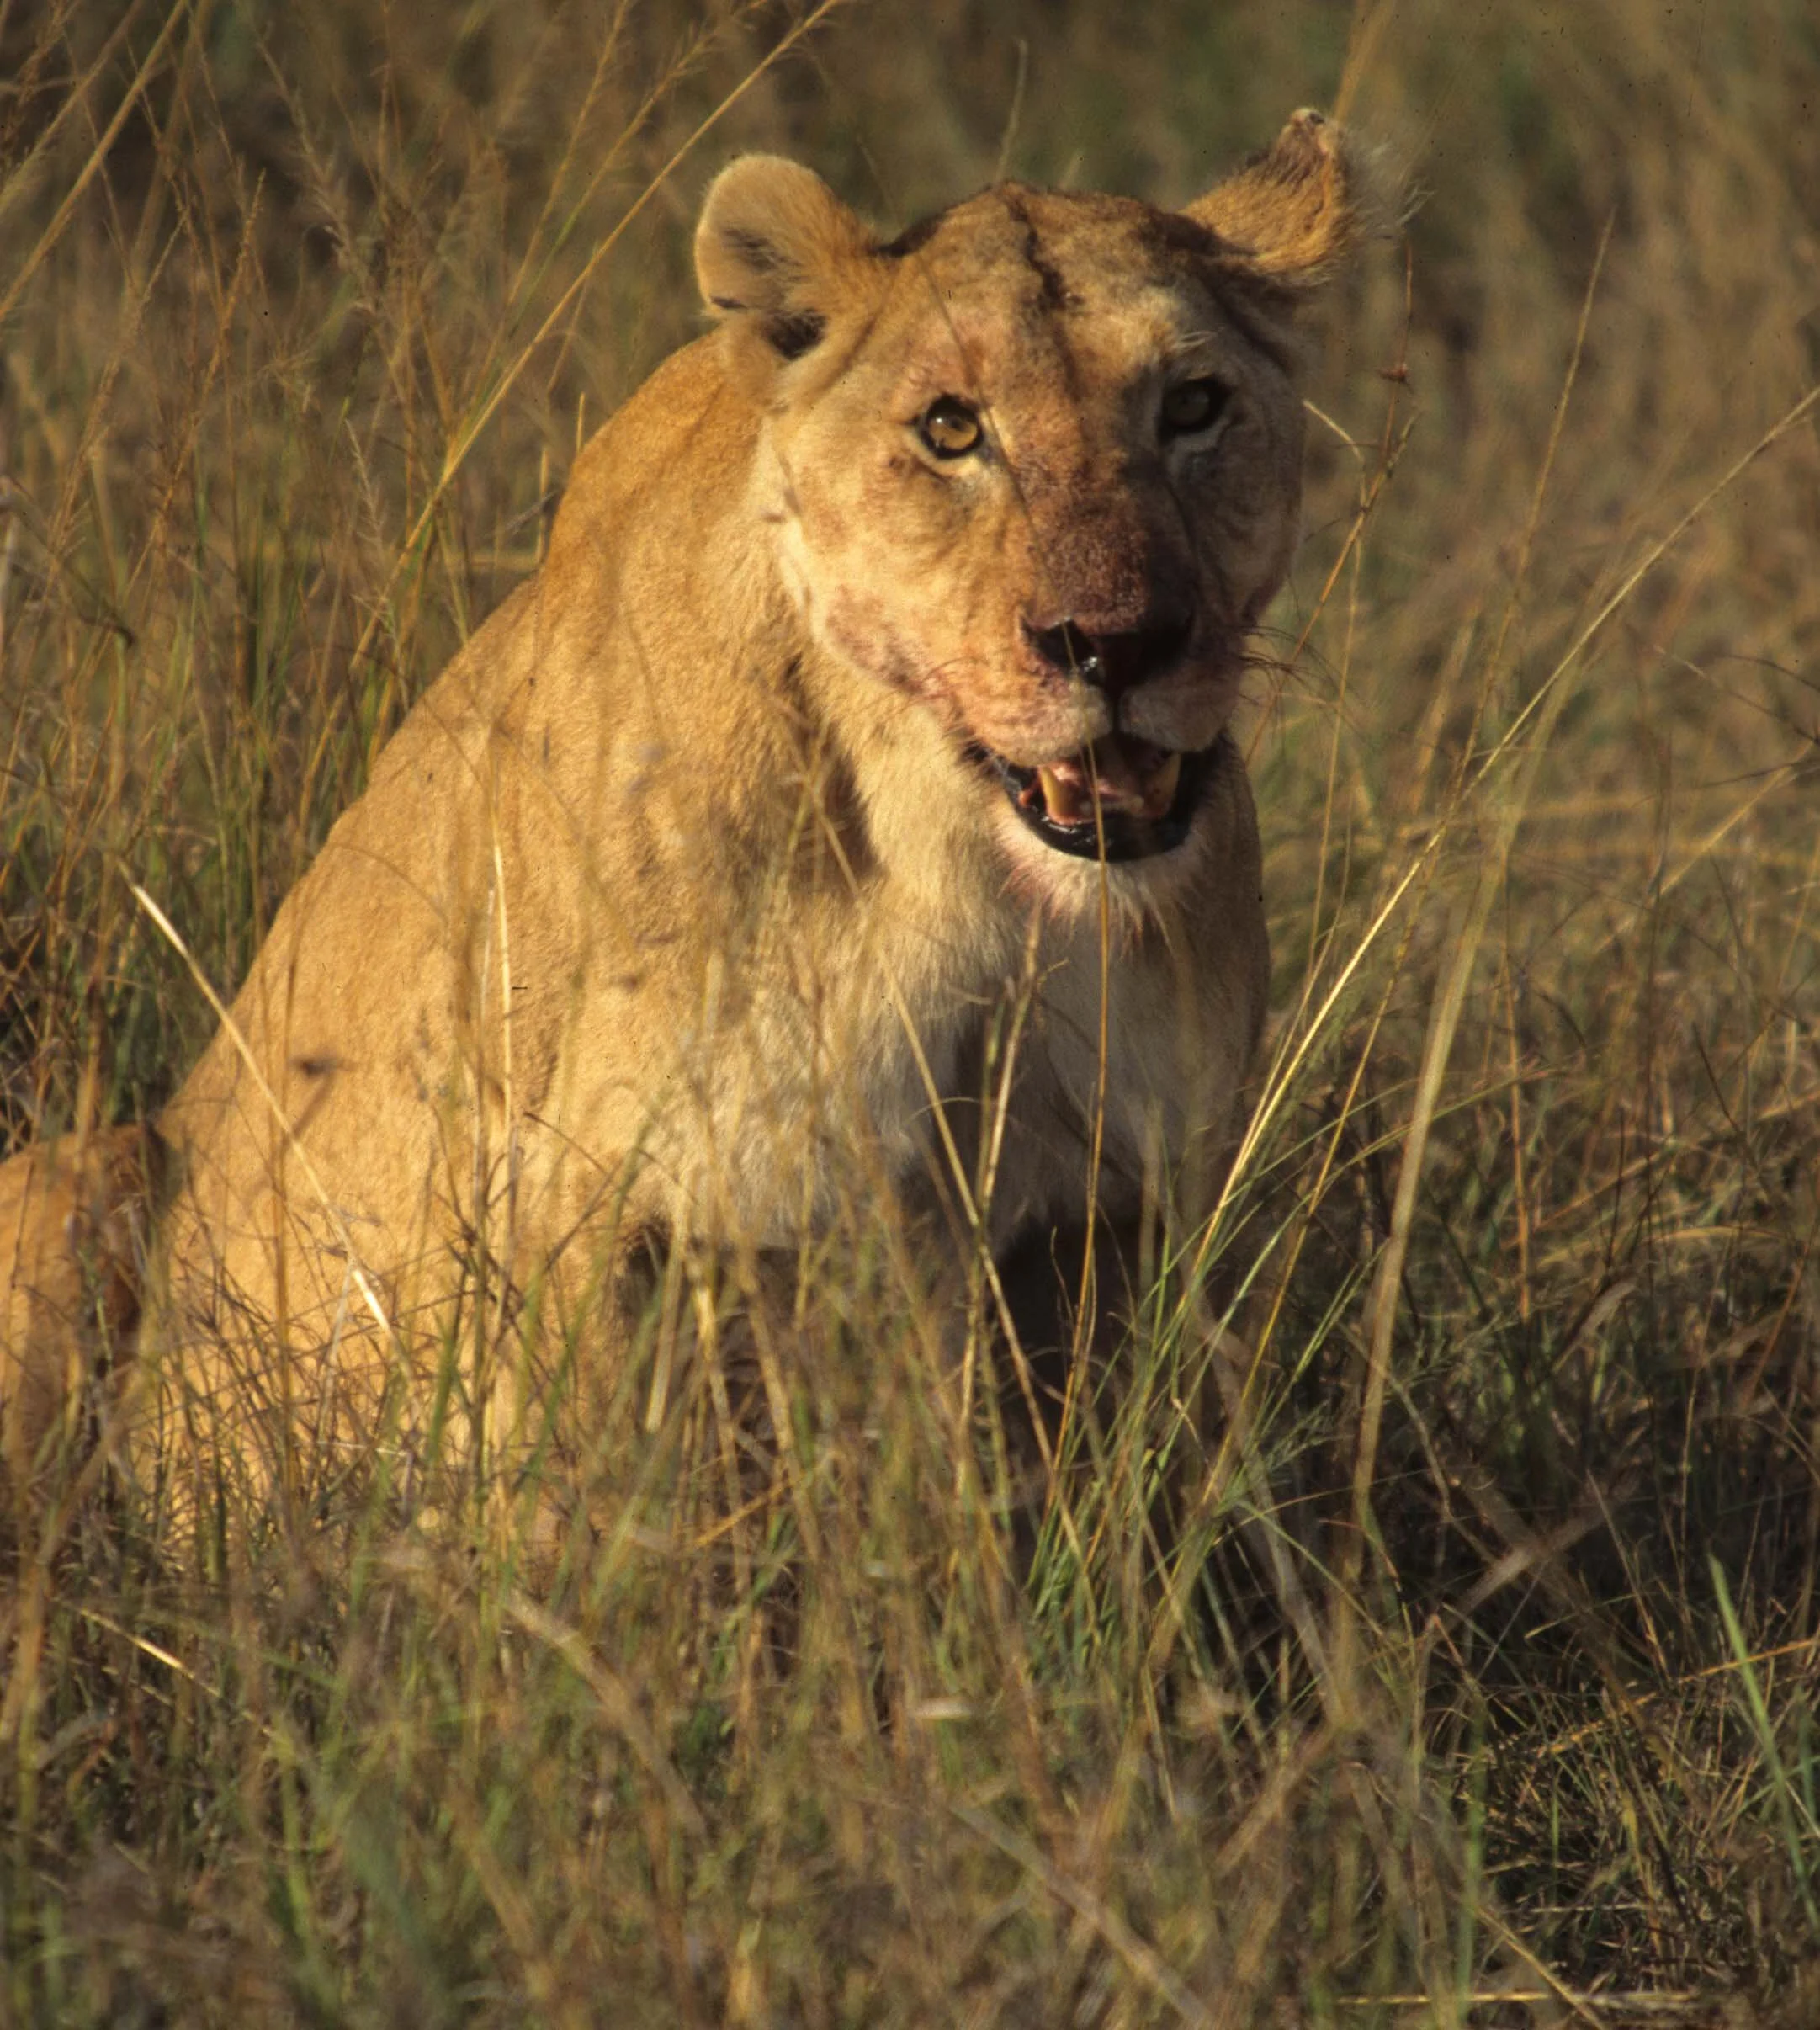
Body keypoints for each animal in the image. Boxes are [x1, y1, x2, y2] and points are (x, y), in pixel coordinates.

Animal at [2, 112, 1377, 1521]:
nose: (1114, 641)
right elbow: (600, 1518)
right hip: (73, 1176)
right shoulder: (589, 1202)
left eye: (1191, 407)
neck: (958, 864)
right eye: (949, 429)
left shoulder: (1114, 1213)